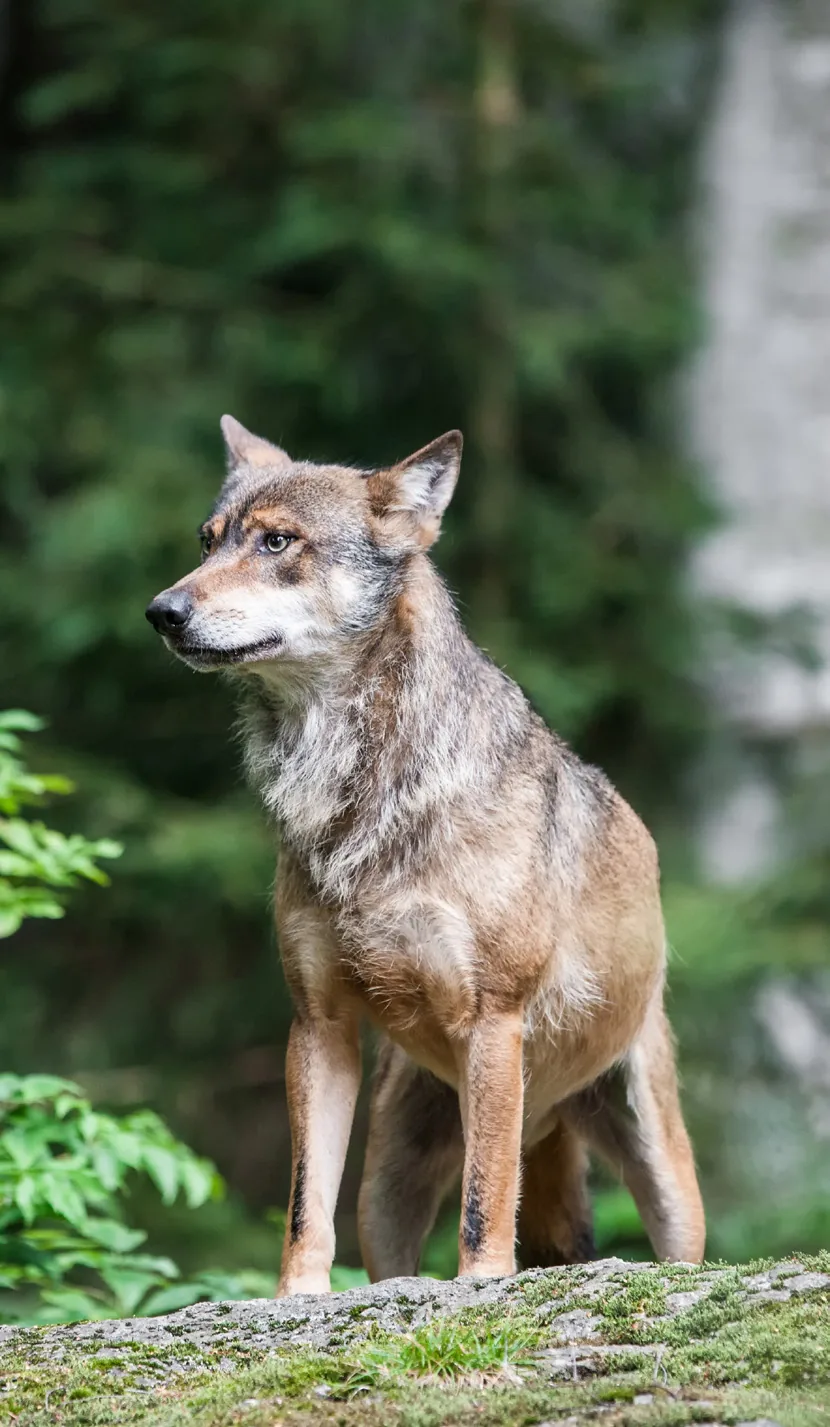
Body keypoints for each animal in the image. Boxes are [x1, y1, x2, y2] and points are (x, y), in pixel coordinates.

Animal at [146, 416, 705, 1295]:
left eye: (278, 541)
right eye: (208, 541)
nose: (161, 610)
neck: (354, 792)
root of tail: (550, 1109)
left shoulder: (495, 1018)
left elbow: (484, 1197)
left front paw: (483, 1283)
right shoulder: (318, 1026)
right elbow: (304, 1202)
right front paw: (295, 1299)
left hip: (663, 1176)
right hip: (387, 1182)